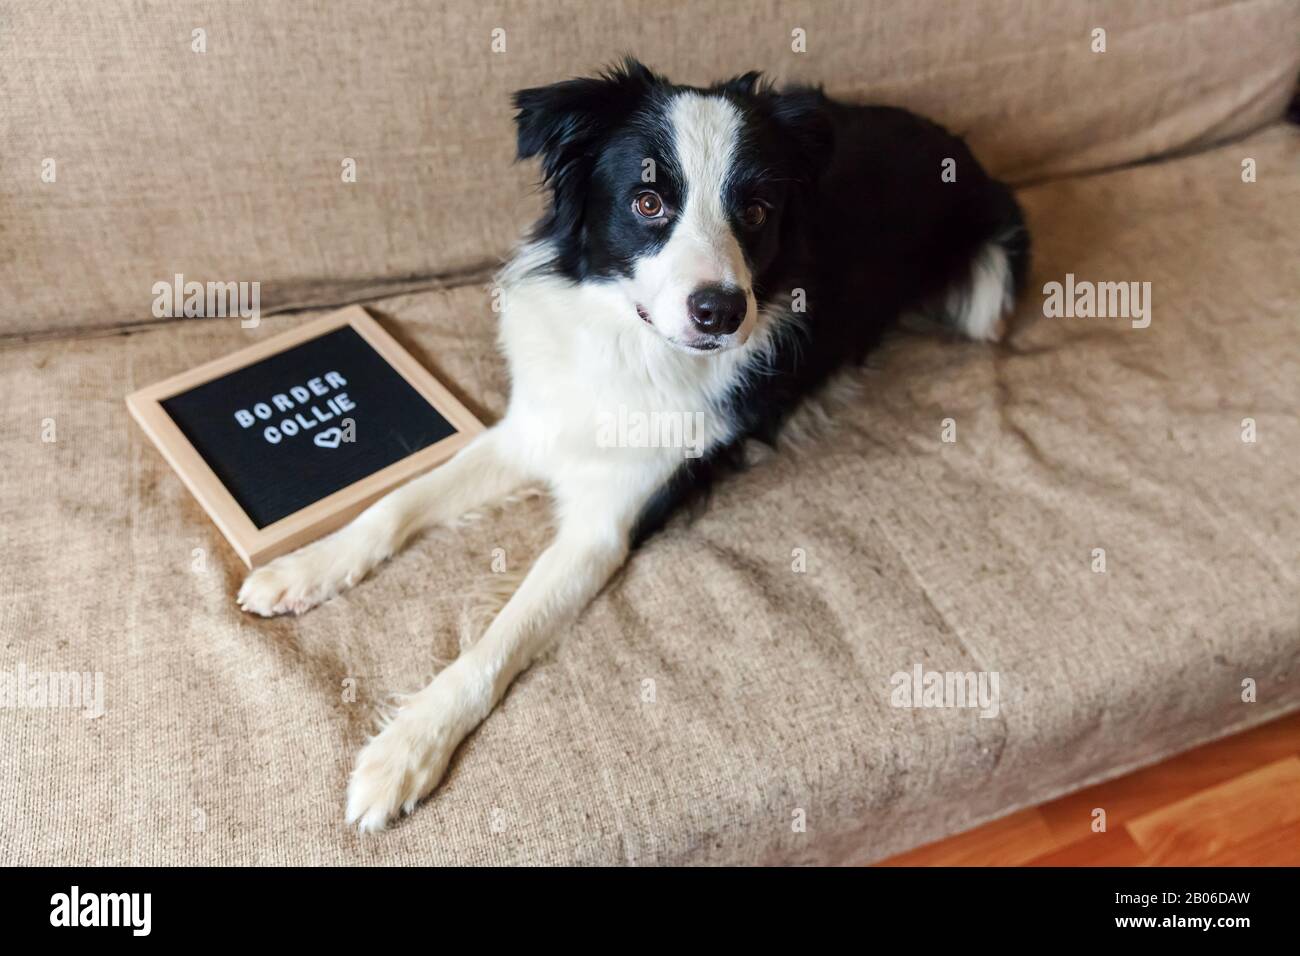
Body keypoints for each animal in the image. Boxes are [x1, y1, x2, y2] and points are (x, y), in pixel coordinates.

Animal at [236, 57, 1024, 832]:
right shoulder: (535, 425)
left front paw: (406, 749)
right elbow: (396, 504)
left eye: (756, 212)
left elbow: (499, 637)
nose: (720, 311)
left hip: (987, 288)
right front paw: (304, 568)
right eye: (647, 202)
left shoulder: (606, 528)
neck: (630, 345)